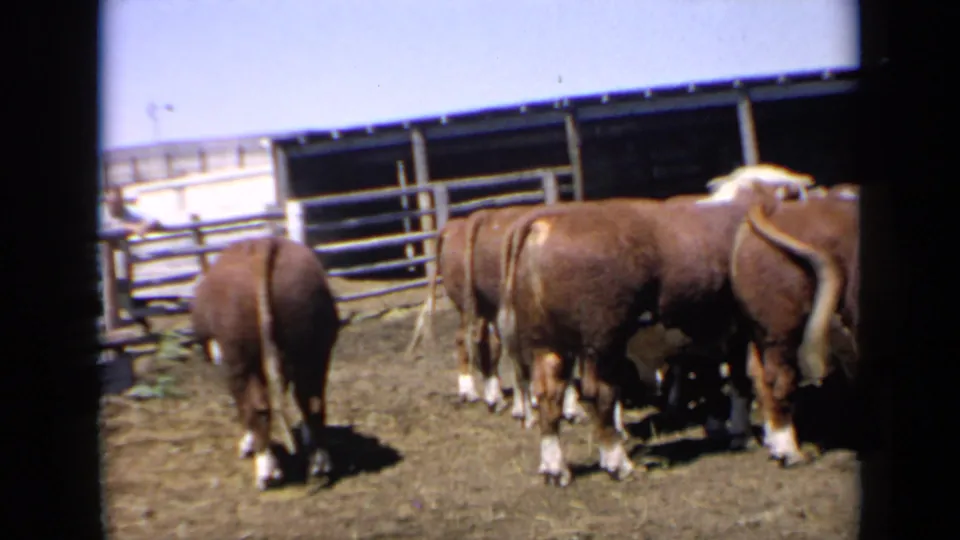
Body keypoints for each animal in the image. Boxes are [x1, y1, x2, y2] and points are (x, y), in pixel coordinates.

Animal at [191, 236, 341, 491]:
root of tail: (264, 244)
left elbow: (243, 404)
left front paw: (247, 444)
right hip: (315, 351)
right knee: (312, 401)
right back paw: (320, 463)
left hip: (242, 358)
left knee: (258, 406)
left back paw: (266, 470)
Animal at [495, 166, 811, 487]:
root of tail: (545, 221)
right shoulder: (758, 326)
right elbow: (759, 380)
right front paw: (779, 443)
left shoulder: (722, 330)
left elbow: (730, 379)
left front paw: (737, 430)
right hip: (601, 340)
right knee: (600, 393)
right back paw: (617, 462)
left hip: (547, 343)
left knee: (549, 395)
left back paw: (555, 468)